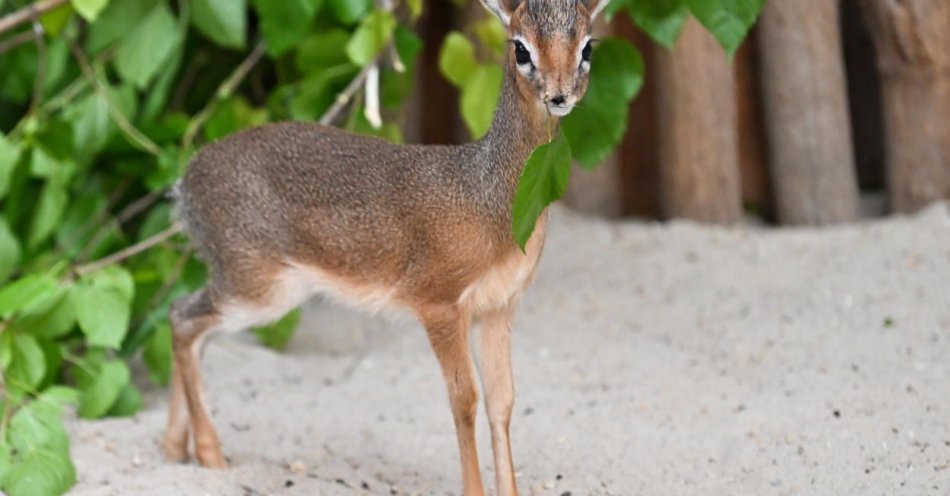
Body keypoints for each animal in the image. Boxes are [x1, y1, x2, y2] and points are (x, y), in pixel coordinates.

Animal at [165, 1, 608, 494]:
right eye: (521, 49)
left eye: (587, 46)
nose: (559, 95)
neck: (489, 197)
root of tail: (185, 185)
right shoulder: (438, 305)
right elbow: (464, 398)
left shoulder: (499, 306)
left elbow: (503, 400)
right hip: (259, 289)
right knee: (182, 319)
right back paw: (210, 454)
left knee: (188, 325)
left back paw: (175, 448)